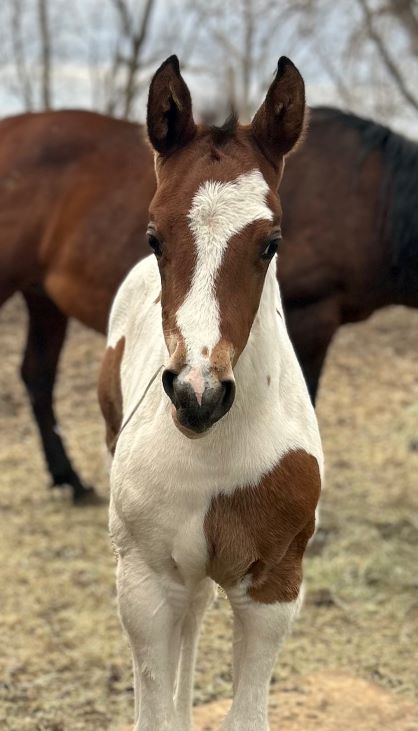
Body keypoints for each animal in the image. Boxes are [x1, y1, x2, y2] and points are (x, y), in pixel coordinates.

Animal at [0, 106, 416, 500]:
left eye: (270, 246)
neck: (369, 200)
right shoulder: (311, 318)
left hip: (43, 300)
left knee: (37, 376)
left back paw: (67, 479)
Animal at [99, 54, 324, 728]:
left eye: (271, 243)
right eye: (154, 237)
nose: (198, 394)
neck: (217, 454)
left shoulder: (274, 586)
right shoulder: (144, 583)